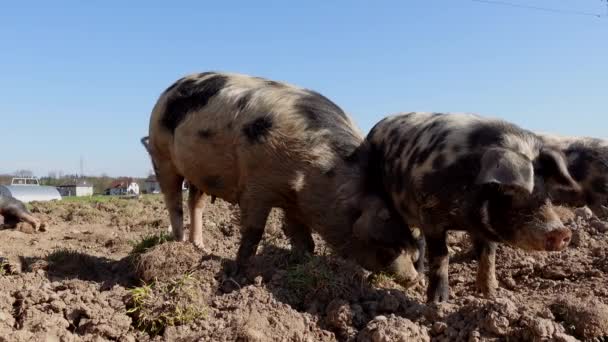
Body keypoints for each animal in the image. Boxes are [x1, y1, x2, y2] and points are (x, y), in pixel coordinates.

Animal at [143, 71, 420, 286]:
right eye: (390, 246)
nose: (414, 279)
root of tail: (167, 91)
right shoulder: (255, 187)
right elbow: (253, 232)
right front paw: (238, 275)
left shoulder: (294, 200)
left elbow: (304, 239)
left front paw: (303, 264)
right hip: (160, 154)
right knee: (173, 202)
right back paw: (179, 244)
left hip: (199, 173)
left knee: (195, 203)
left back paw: (201, 247)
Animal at [366, 112, 580, 302]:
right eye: (509, 189)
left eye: (546, 191)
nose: (561, 231)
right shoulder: (429, 213)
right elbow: (441, 255)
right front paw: (438, 302)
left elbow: (488, 256)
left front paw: (492, 295)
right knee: (416, 242)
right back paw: (417, 282)